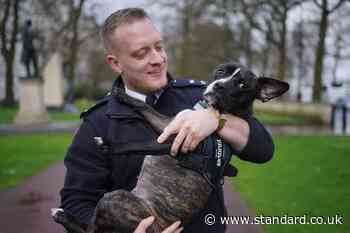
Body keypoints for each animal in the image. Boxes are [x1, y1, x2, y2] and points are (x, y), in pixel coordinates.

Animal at [52, 62, 290, 233]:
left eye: (243, 85)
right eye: (221, 71)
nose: (219, 85)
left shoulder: (172, 144)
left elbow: (137, 144)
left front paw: (108, 146)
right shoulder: (167, 124)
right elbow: (143, 107)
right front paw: (121, 94)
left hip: (116, 198)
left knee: (90, 230)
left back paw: (63, 216)